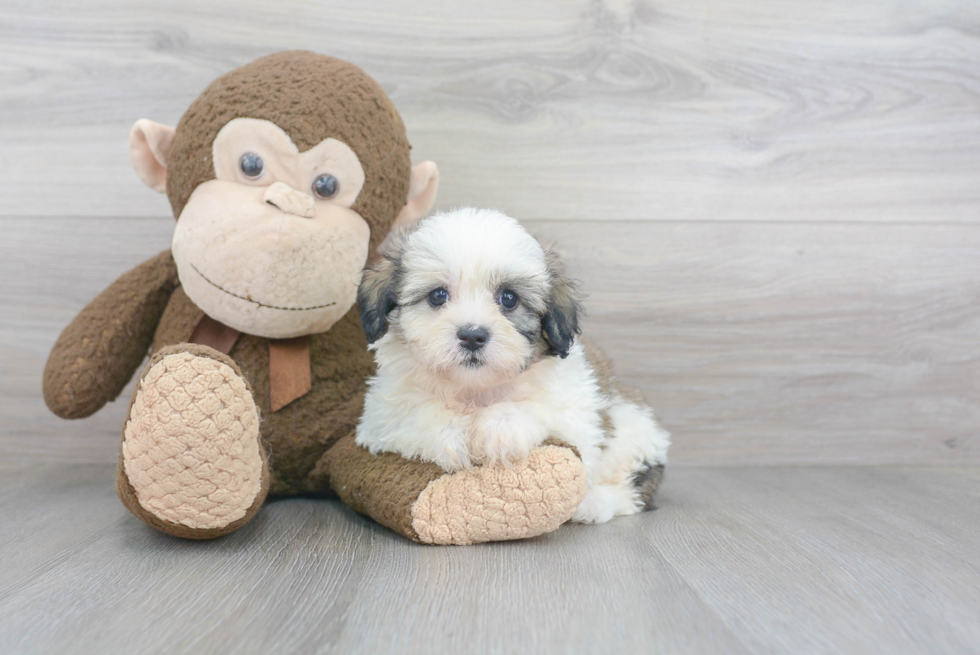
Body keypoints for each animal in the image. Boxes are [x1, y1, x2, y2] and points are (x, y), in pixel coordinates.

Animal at [356, 208, 668, 524]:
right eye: (437, 296)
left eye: (509, 298)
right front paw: (451, 432)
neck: (475, 389)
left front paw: (500, 427)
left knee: (635, 491)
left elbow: (542, 411)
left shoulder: (576, 413)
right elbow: (414, 413)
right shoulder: (379, 417)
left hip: (635, 429)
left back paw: (596, 503)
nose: (472, 335)